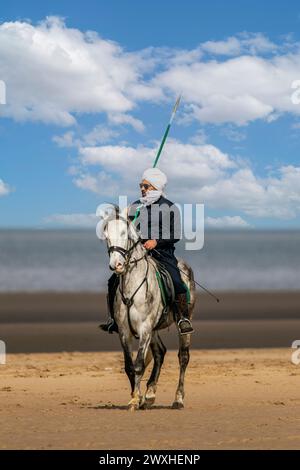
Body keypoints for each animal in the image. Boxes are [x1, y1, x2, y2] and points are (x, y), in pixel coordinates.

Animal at [99, 207, 196, 412]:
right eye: (106, 235)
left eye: (124, 233)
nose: (116, 265)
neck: (132, 285)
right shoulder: (125, 332)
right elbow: (130, 366)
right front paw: (136, 398)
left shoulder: (144, 329)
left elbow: (138, 365)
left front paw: (136, 399)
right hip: (154, 329)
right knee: (160, 353)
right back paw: (150, 395)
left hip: (183, 323)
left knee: (183, 357)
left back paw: (178, 399)